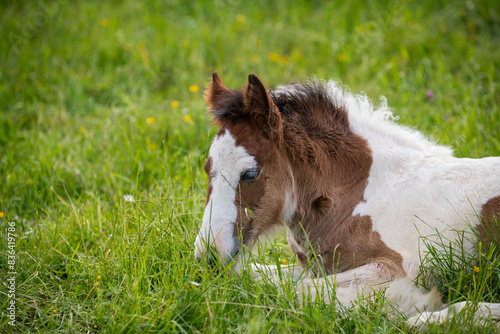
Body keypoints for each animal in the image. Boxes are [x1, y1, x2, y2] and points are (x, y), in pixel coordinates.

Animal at [192, 72, 500, 326]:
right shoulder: (314, 267)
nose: (209, 254)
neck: (359, 195)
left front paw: (408, 302)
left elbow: (294, 291)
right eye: (207, 168)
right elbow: (252, 275)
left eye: (250, 173)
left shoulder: (395, 267)